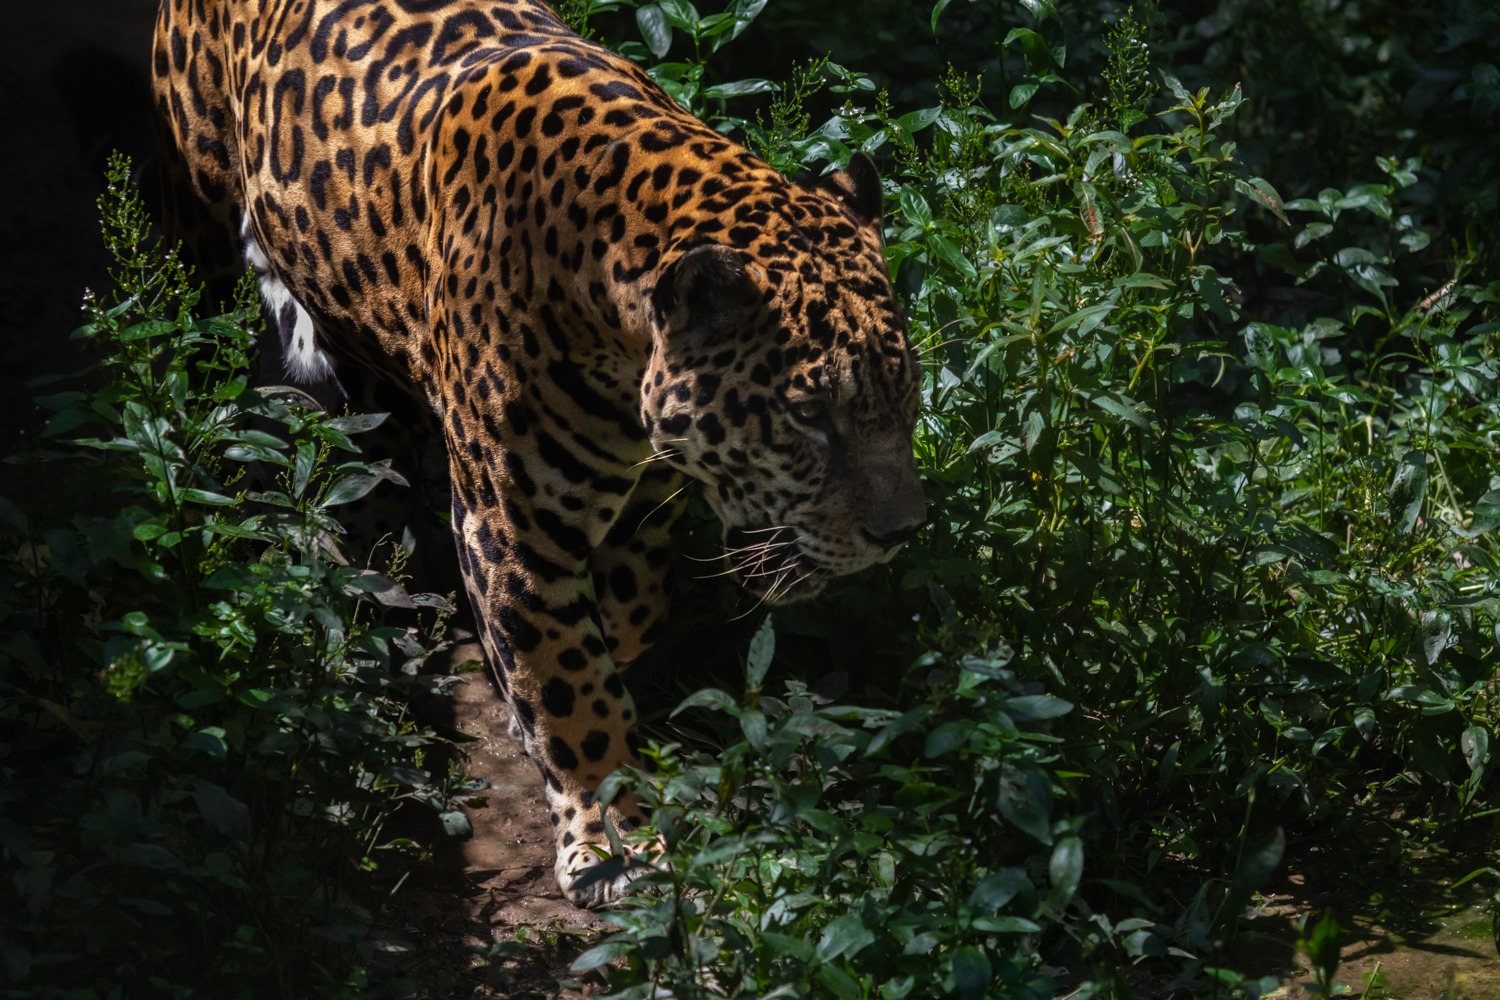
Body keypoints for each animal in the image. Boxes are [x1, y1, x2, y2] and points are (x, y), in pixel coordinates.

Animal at [152, 0, 925, 907]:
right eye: (808, 415)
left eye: (907, 393)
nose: (901, 535)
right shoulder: (510, 523)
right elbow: (569, 680)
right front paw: (613, 838)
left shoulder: (648, 498)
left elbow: (624, 617)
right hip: (199, 217)